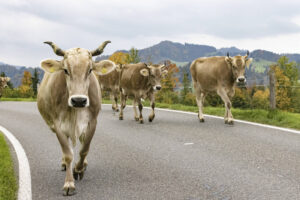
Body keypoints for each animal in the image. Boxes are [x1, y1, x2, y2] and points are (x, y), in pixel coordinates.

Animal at [36, 40, 113, 195]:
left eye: (90, 70)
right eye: (65, 70)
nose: (78, 100)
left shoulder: (92, 122)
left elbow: (84, 149)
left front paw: (78, 169)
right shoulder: (58, 125)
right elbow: (68, 154)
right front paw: (69, 183)